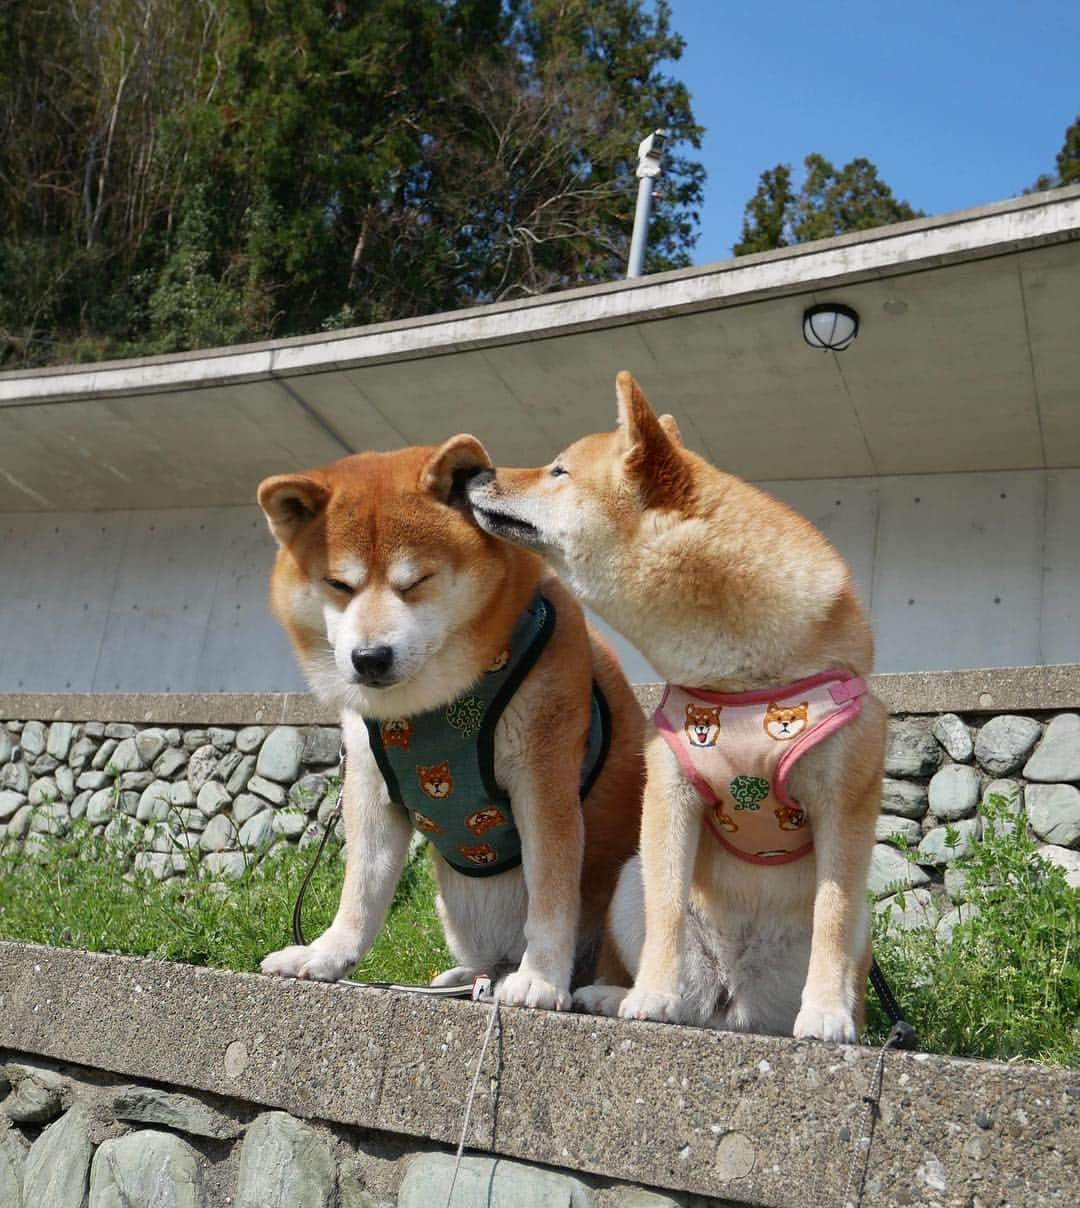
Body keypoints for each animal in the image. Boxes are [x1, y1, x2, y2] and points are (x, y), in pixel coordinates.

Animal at [258, 437, 647, 1009]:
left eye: (417, 581)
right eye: (338, 585)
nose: (369, 657)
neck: (431, 708)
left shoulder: (544, 776)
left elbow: (552, 894)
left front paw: (540, 979)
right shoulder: (370, 783)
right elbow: (362, 891)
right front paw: (326, 955)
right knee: (486, 961)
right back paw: (467, 978)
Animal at [466, 372, 889, 1043]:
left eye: (558, 470)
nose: (476, 472)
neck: (741, 684)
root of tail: (734, 995)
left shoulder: (843, 810)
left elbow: (833, 913)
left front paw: (826, 1013)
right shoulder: (670, 793)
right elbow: (665, 909)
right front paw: (651, 996)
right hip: (627, 882)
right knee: (660, 969)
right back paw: (612, 994)